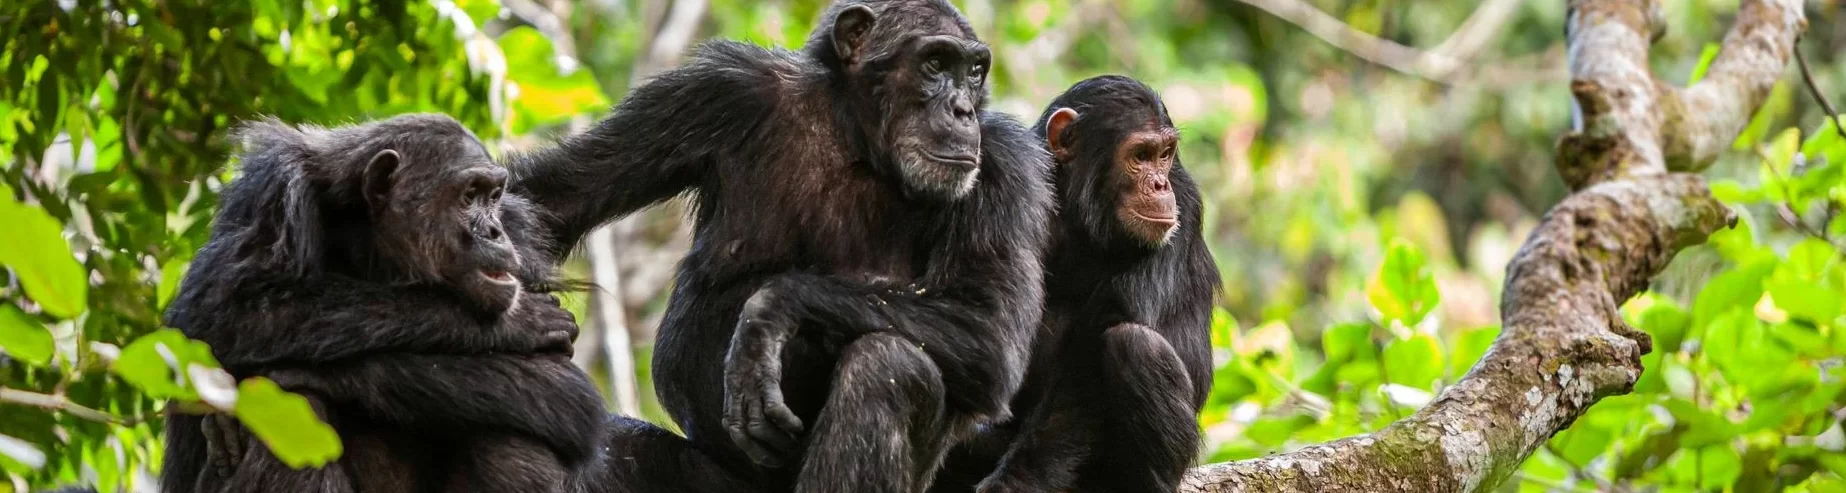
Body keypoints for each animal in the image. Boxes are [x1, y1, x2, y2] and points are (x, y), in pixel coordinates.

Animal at [158, 114, 605, 493]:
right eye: (469, 195)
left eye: (494, 195)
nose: (494, 231)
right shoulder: (273, 193)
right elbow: (225, 314)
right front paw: (521, 321)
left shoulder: (520, 229)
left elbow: (559, 384)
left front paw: (327, 375)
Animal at [505, 0, 1055, 491]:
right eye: (936, 63)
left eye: (975, 71)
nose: (962, 109)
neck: (857, 140)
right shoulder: (715, 91)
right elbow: (553, 198)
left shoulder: (1007, 166)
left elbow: (988, 329)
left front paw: (768, 312)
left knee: (890, 367)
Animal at [930, 74, 1218, 493]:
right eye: (1141, 155)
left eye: (1165, 154)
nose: (1160, 185)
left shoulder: (1185, 199)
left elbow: (1094, 352)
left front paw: (1012, 484)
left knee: (1135, 345)